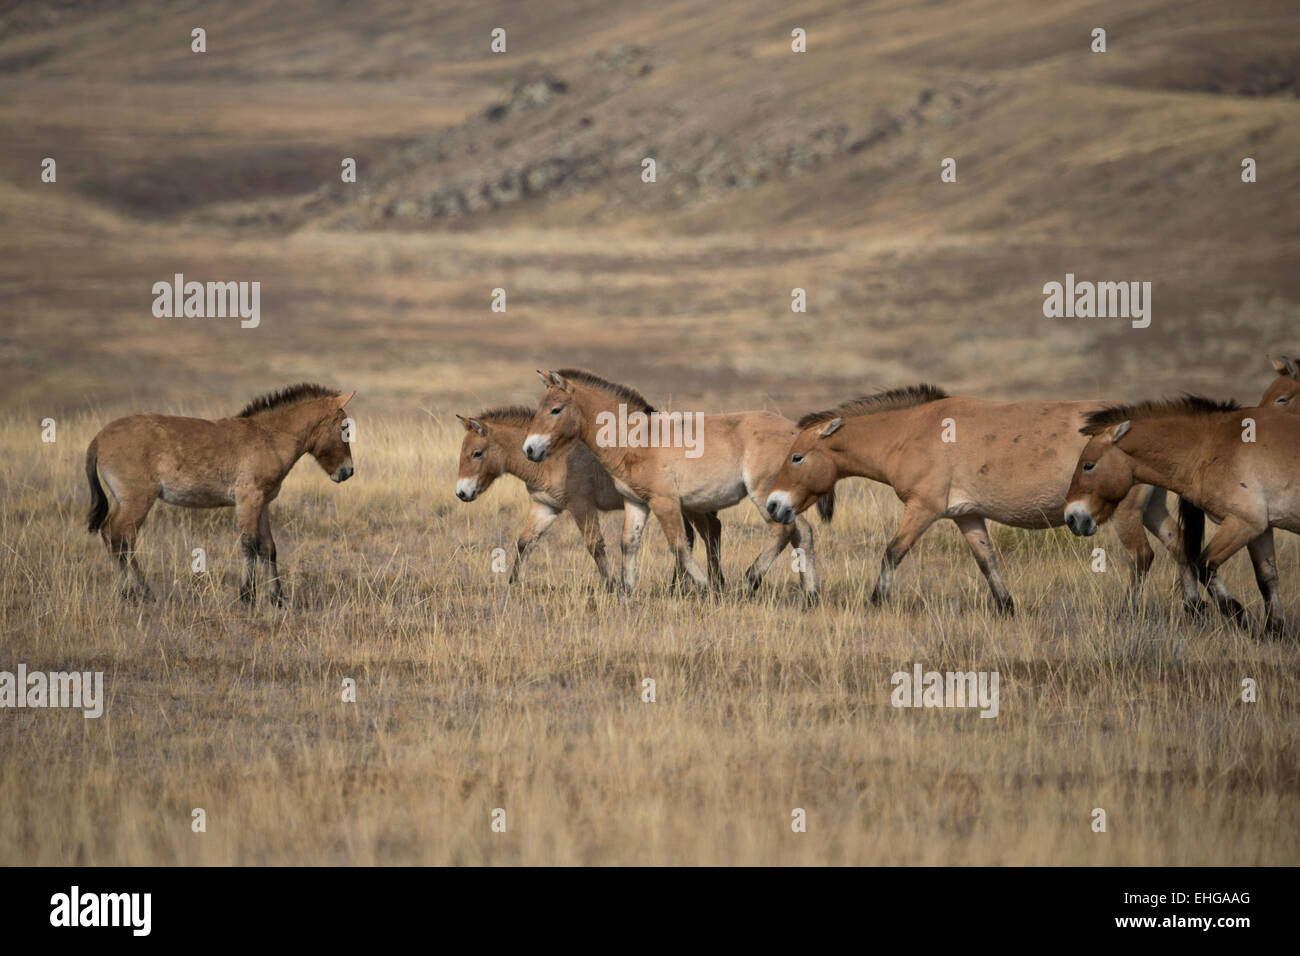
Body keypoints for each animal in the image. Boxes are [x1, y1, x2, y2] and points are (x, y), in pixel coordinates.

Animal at [86, 382, 356, 600]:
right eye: (344, 428)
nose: (347, 471)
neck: (269, 438)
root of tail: (99, 439)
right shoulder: (248, 499)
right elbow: (249, 544)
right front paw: (247, 596)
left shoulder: (263, 503)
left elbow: (269, 548)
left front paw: (278, 599)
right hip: (138, 501)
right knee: (122, 537)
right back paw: (140, 594)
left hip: (123, 501)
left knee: (111, 534)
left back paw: (130, 593)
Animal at [454, 408, 722, 587]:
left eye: (476, 453)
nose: (462, 493)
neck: (552, 456)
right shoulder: (546, 507)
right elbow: (524, 542)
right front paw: (513, 584)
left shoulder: (581, 505)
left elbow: (595, 545)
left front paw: (611, 585)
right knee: (700, 533)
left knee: (707, 532)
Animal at [520, 369, 832, 600]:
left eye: (556, 409)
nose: (530, 450)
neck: (636, 438)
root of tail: (798, 433)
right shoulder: (636, 502)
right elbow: (628, 543)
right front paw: (626, 592)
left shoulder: (665, 502)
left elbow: (680, 546)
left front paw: (706, 588)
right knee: (803, 533)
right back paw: (810, 594)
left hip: (765, 494)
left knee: (783, 531)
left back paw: (749, 581)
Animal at [764, 387, 1201, 616]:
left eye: (796, 457)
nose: (773, 505)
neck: (911, 432)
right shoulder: (967, 517)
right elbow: (987, 561)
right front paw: (1007, 606)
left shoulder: (922, 509)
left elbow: (892, 552)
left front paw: (876, 601)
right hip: (1151, 509)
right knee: (1179, 547)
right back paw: (1194, 608)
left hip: (1126, 512)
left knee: (1141, 557)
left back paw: (1129, 611)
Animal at [1066, 398, 1300, 634]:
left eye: (1088, 465)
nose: (1071, 517)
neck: (1215, 447)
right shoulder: (1262, 528)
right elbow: (1267, 578)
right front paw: (1274, 630)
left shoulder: (1244, 523)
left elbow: (1204, 564)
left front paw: (1239, 614)